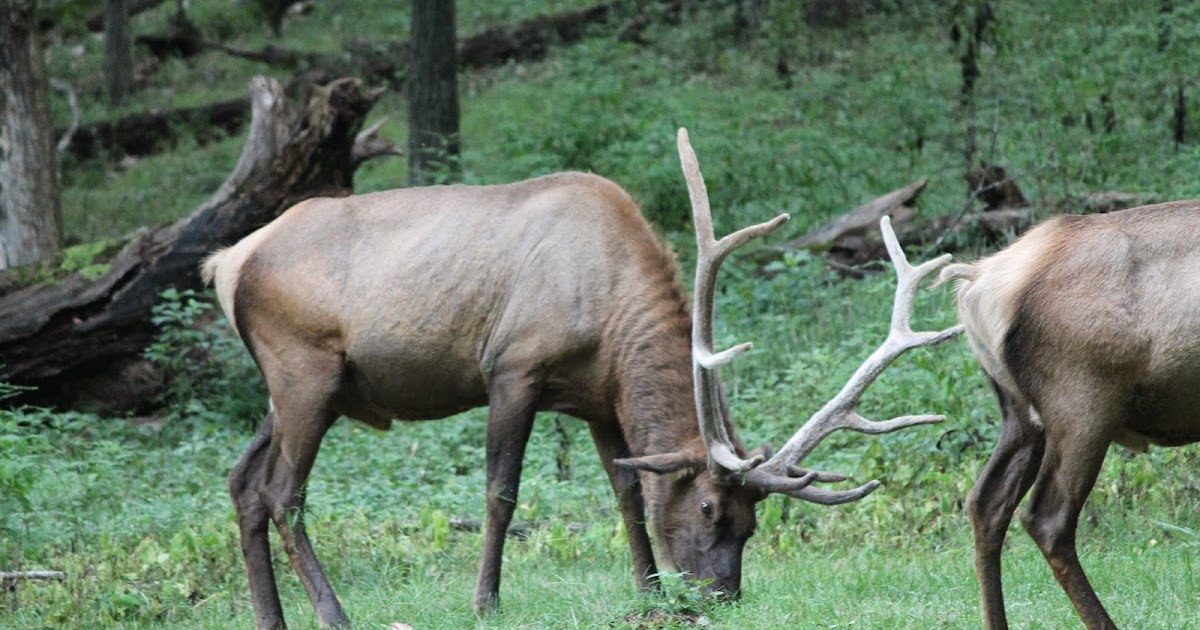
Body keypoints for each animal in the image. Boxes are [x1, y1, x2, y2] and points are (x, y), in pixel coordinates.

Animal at [201, 127, 960, 629]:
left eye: (754, 523)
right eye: (711, 510)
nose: (722, 598)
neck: (609, 319)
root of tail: (227, 261)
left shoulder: (598, 397)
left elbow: (627, 493)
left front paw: (649, 592)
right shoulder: (513, 367)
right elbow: (502, 492)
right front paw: (486, 601)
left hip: (294, 388)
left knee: (241, 482)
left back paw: (271, 618)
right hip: (304, 370)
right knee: (283, 493)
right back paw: (333, 614)